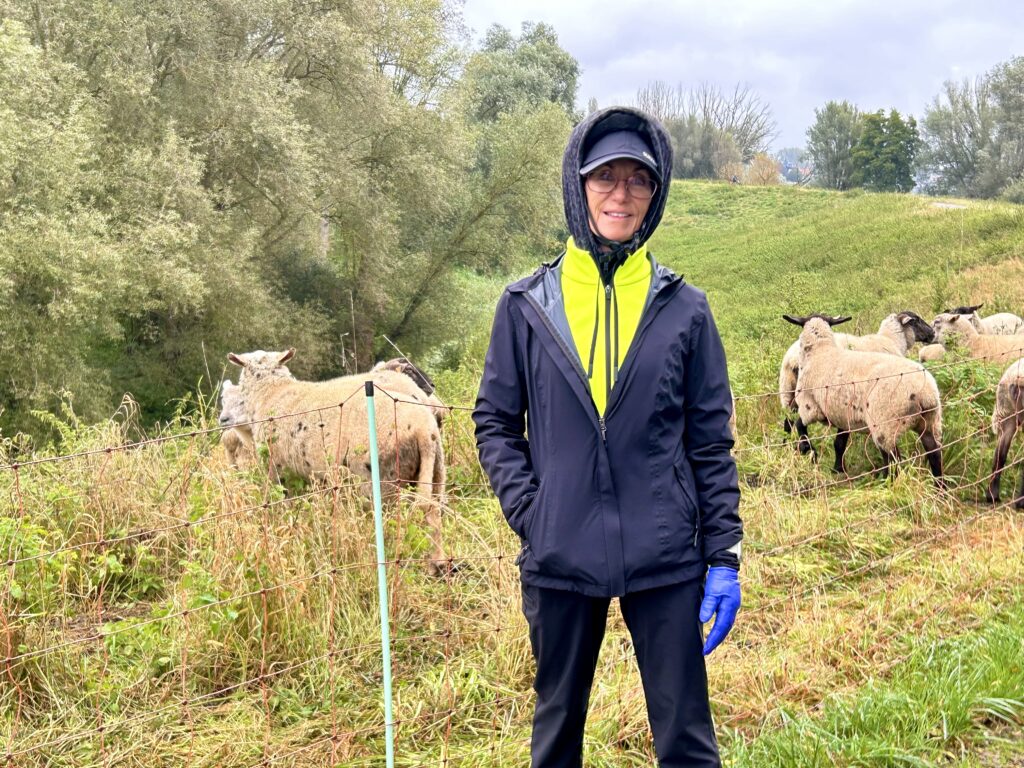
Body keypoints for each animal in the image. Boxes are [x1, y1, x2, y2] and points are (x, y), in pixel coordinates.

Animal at [224, 352, 448, 573]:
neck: (272, 391)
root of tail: (422, 429)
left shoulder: (279, 476)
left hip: (382, 483)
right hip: (435, 470)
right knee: (432, 509)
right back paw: (438, 564)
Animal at [782, 313, 942, 487]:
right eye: (916, 320)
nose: (933, 334)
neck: (821, 351)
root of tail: (925, 392)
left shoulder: (812, 408)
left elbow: (804, 427)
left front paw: (810, 451)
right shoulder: (837, 413)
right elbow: (837, 442)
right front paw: (835, 467)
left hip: (886, 425)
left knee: (894, 459)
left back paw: (887, 483)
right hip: (927, 422)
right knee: (933, 453)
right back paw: (939, 487)